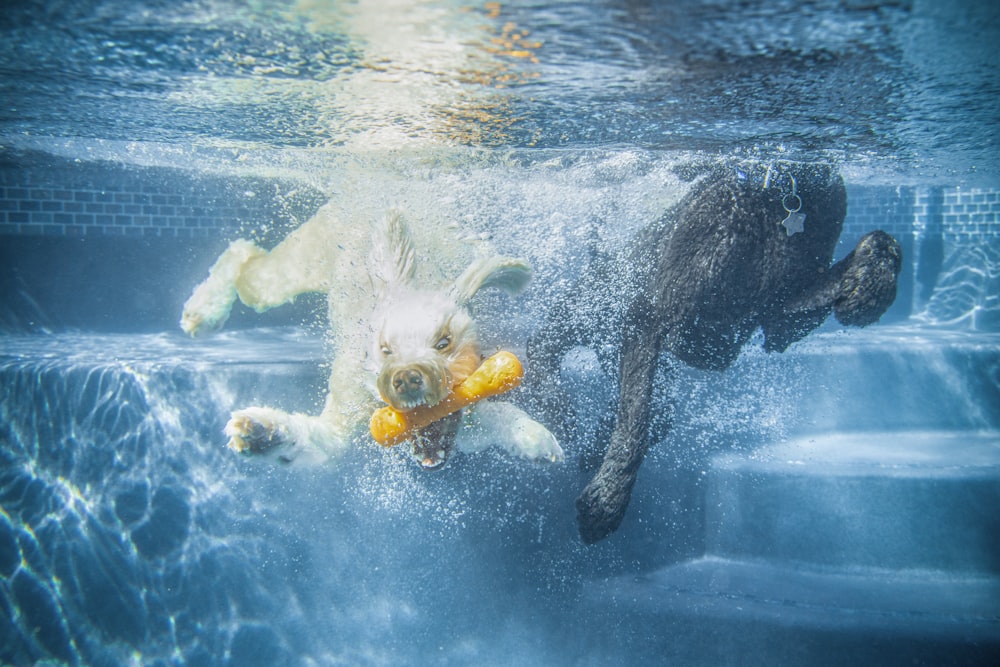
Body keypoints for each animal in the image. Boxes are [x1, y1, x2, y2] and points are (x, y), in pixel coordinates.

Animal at [182, 204, 564, 470]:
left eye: (443, 343)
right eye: (385, 350)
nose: (407, 378)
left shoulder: (467, 421)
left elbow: (495, 413)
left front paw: (534, 437)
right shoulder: (352, 400)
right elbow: (321, 439)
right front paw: (261, 431)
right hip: (299, 264)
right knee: (245, 255)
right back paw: (203, 310)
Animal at [528, 162, 904, 544]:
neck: (777, 196)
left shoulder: (781, 321)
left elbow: (880, 240)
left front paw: (872, 284)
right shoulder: (648, 317)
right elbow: (636, 422)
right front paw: (608, 499)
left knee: (659, 410)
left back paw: (594, 441)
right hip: (584, 314)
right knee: (541, 348)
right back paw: (559, 409)